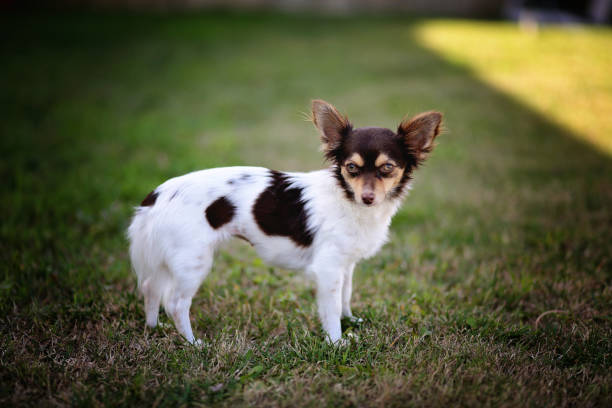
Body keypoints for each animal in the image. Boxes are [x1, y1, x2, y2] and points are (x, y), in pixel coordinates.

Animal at [126, 99, 442, 344]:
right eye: (351, 168)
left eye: (387, 169)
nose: (367, 197)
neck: (347, 198)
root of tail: (157, 195)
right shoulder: (328, 268)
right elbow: (330, 309)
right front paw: (336, 341)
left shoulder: (346, 264)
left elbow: (346, 296)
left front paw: (351, 320)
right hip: (193, 261)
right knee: (175, 303)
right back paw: (193, 343)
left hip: (168, 258)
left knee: (151, 288)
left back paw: (154, 327)